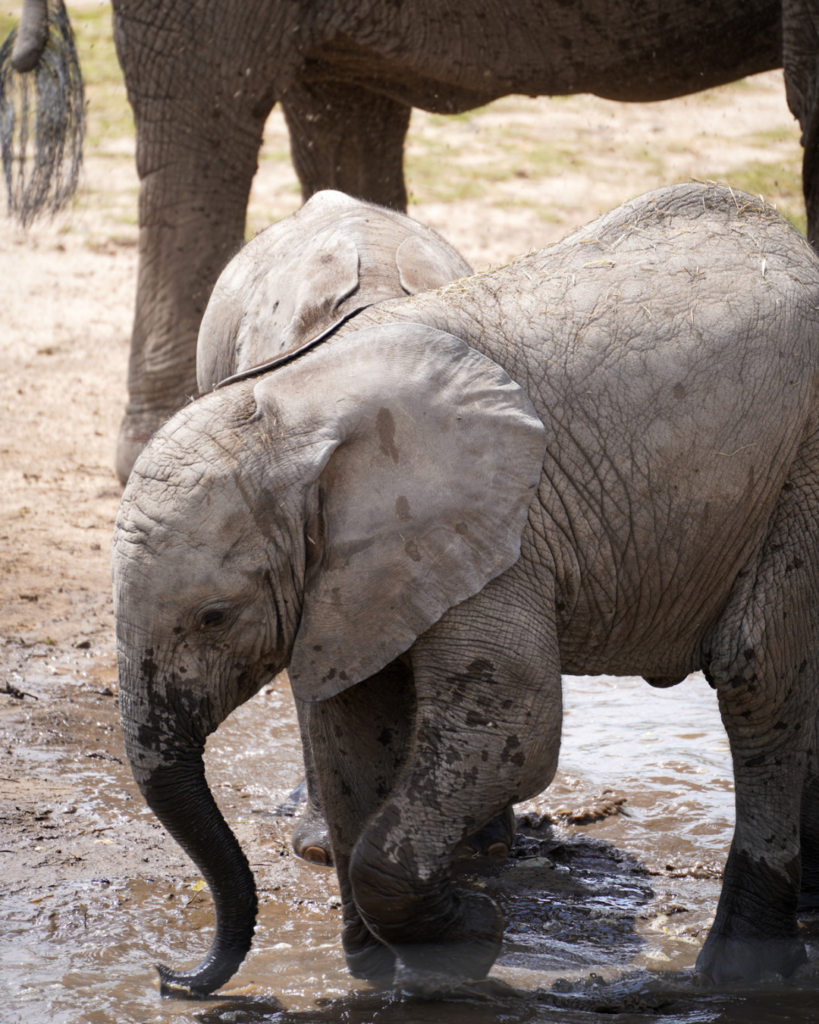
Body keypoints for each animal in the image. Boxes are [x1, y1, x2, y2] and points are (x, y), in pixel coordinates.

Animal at [113, 181, 819, 997]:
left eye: (214, 617)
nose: (169, 974)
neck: (297, 412)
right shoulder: (358, 574)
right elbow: (353, 731)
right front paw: (386, 972)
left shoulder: (497, 525)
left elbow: (513, 722)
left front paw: (472, 939)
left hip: (797, 467)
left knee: (759, 682)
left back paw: (740, 974)